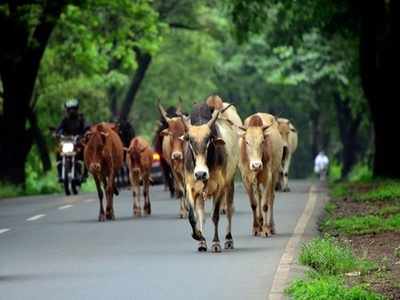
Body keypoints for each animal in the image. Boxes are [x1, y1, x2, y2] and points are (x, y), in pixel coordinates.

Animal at [180, 97, 241, 252]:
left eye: (209, 139)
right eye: (190, 140)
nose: (201, 174)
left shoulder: (219, 187)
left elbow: (215, 215)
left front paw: (215, 243)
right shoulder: (190, 187)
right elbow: (193, 216)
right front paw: (198, 236)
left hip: (229, 184)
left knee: (229, 210)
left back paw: (228, 239)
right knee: (201, 214)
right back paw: (202, 242)